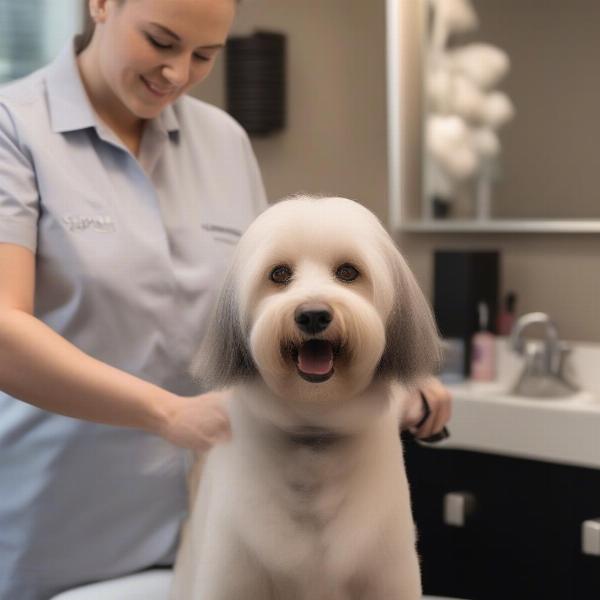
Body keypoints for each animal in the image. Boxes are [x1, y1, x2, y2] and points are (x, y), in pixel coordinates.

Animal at [170, 197, 440, 600]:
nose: (313, 314)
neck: (314, 433)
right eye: (280, 274)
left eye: (348, 271)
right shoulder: (233, 570)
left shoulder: (387, 571)